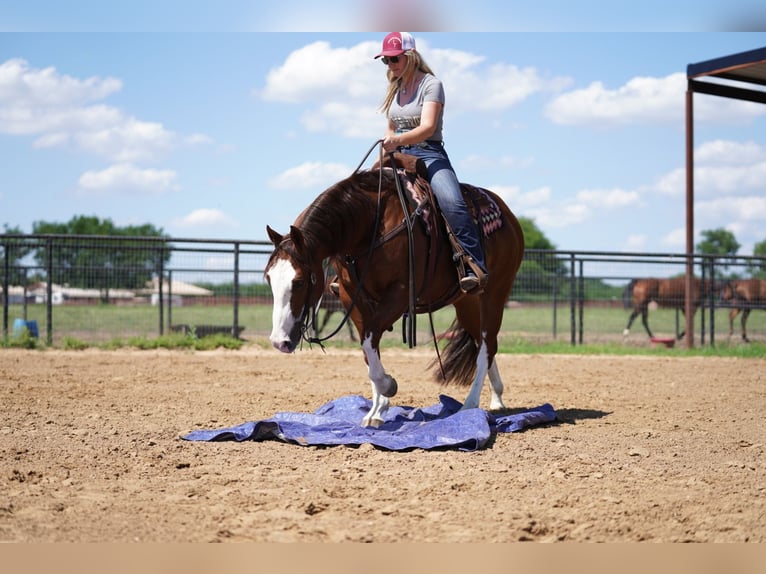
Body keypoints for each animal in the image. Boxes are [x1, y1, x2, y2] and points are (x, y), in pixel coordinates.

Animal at [266, 155, 528, 430]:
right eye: (269, 278)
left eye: (299, 282)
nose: (279, 341)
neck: (369, 226)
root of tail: (507, 215)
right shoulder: (353, 297)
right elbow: (369, 349)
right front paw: (377, 410)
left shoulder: (400, 294)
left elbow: (370, 340)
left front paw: (388, 386)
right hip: (466, 301)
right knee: (483, 343)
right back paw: (497, 398)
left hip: (495, 293)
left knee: (487, 345)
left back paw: (470, 404)